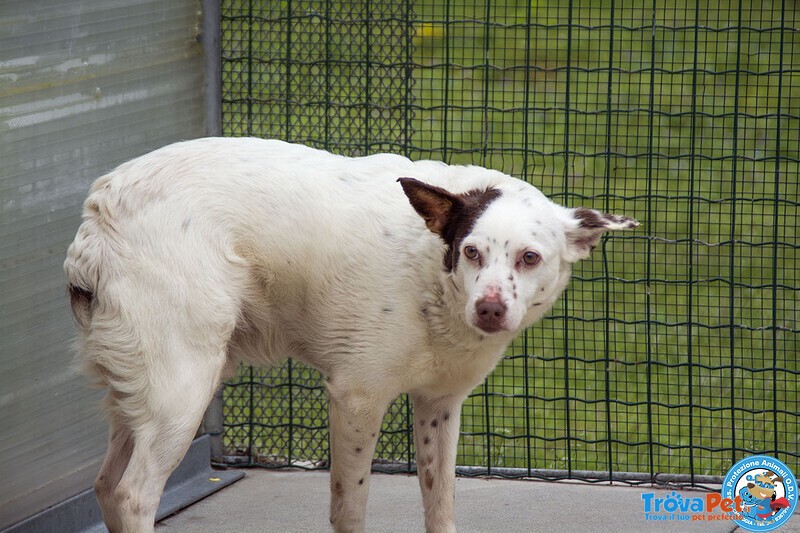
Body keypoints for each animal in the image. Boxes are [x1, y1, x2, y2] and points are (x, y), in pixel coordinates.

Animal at [64, 138, 636, 532]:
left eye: (529, 257)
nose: (490, 309)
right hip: (183, 389)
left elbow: (440, 502)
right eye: (472, 251)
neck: (432, 275)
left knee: (105, 484)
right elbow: (351, 506)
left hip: (142, 391)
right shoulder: (357, 399)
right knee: (133, 494)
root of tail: (100, 211)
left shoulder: (439, 405)